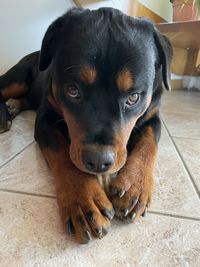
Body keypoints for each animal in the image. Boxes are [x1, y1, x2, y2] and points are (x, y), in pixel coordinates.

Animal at [0, 7, 172, 245]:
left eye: (134, 97)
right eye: (73, 90)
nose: (98, 161)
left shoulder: (153, 116)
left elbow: (149, 142)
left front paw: (134, 186)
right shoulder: (45, 117)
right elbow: (63, 151)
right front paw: (82, 199)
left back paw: (13, 107)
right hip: (18, 77)